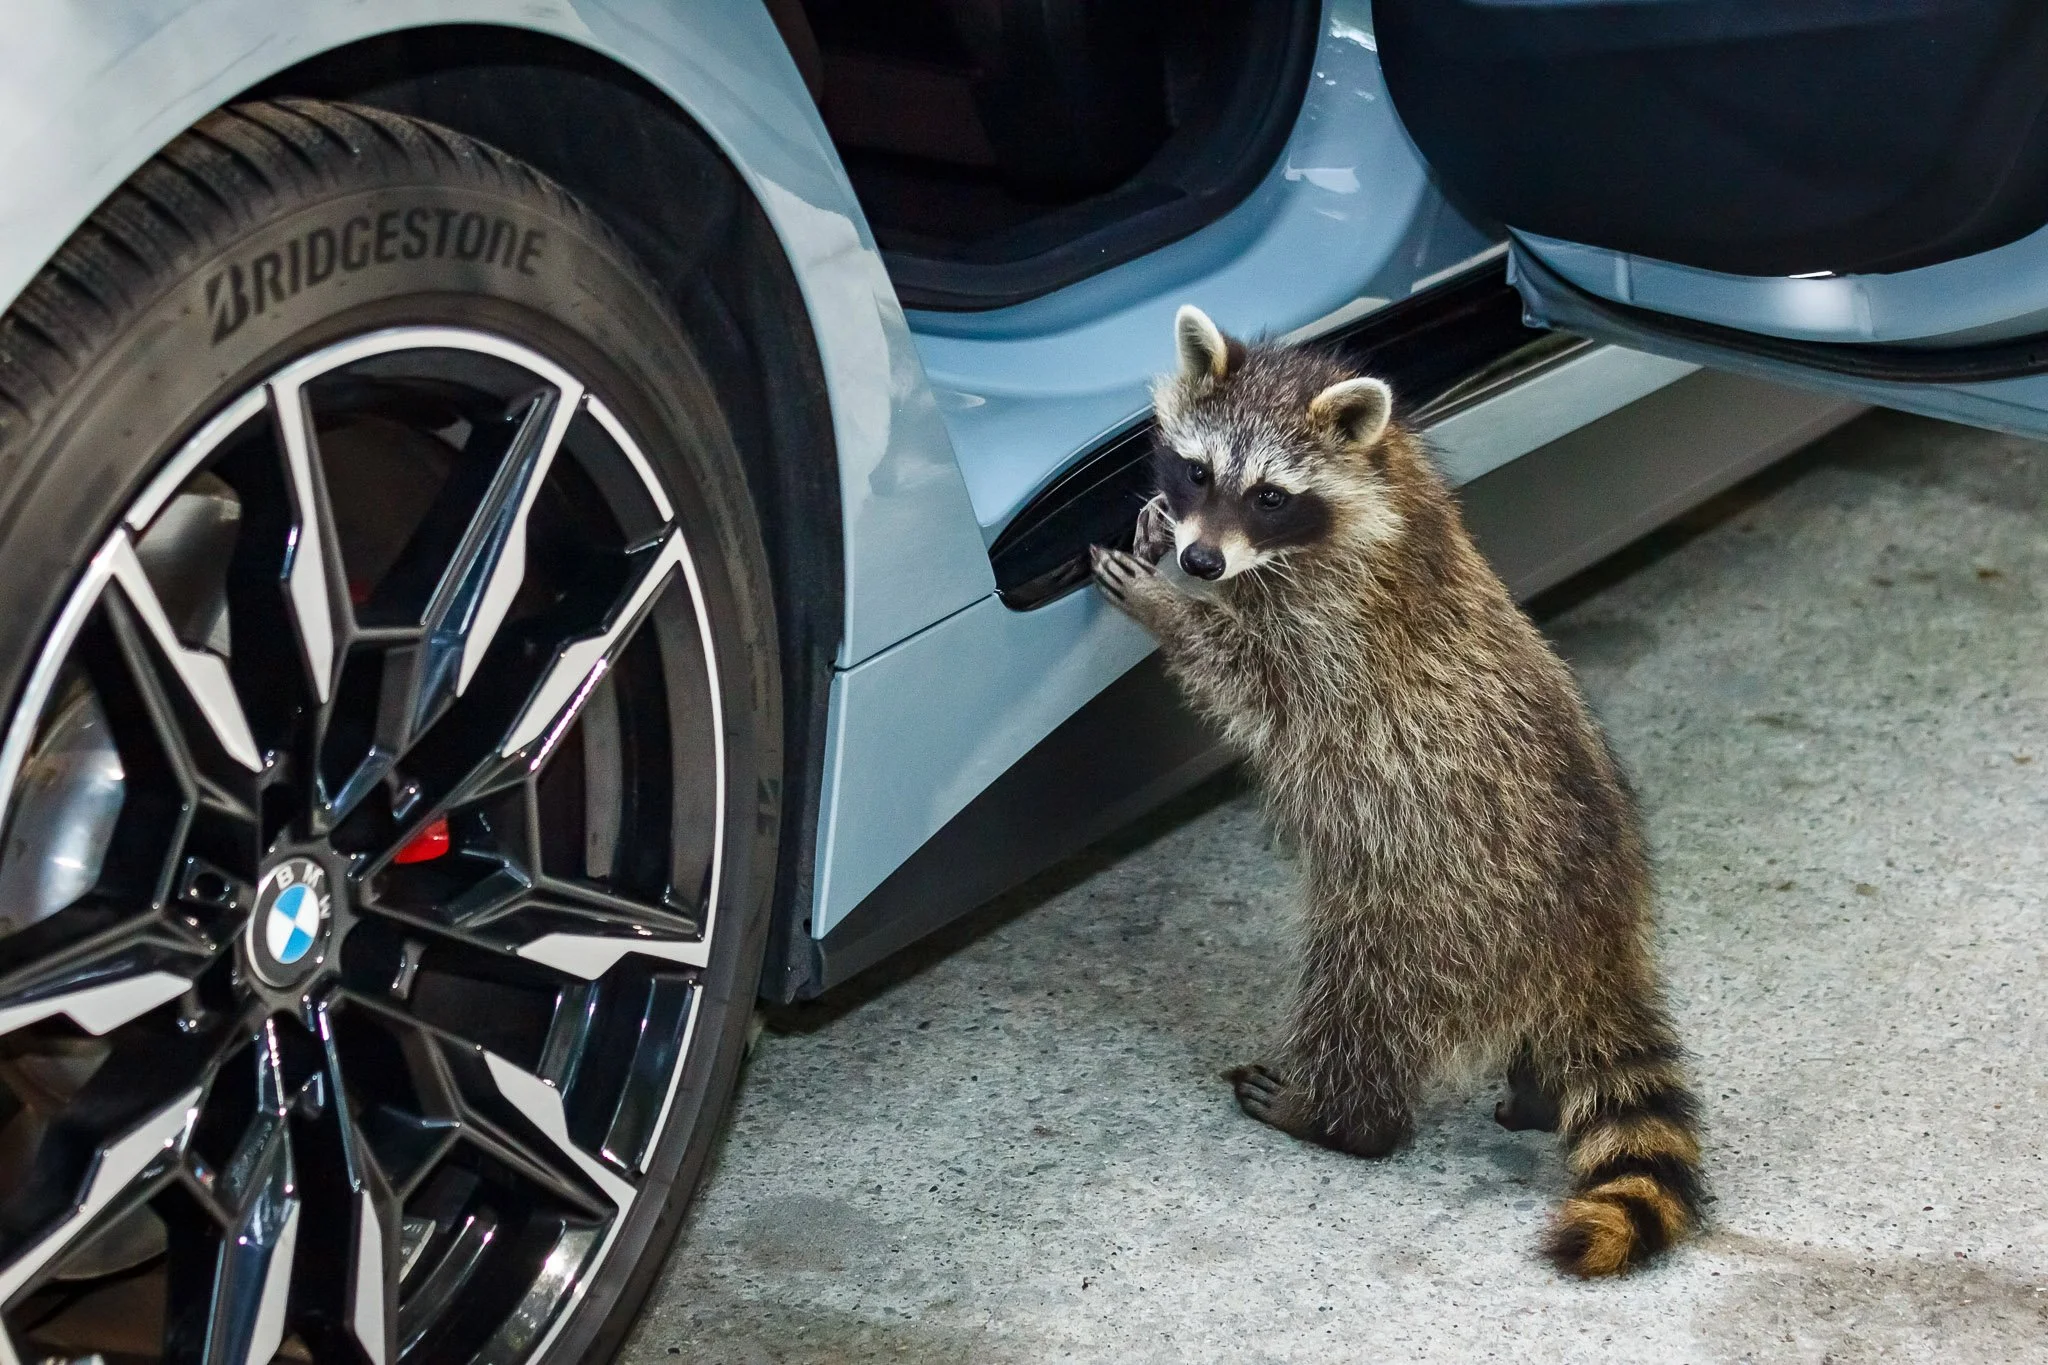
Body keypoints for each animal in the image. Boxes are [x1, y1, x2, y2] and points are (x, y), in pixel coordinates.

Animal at [1090, 306, 1703, 1277]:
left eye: (1270, 495)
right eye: (1198, 470)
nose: (1200, 559)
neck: (1382, 480)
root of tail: (1596, 935)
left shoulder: (1330, 632)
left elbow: (1244, 671)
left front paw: (1165, 602)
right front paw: (1163, 544)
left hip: (1419, 913)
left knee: (1362, 1010)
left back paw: (1340, 1116)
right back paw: (1541, 1085)